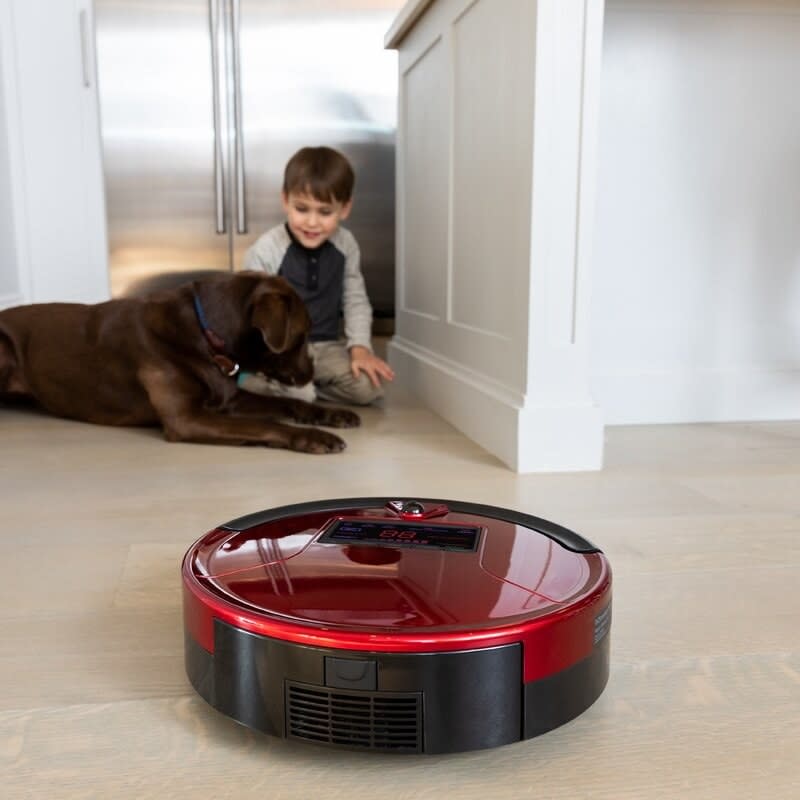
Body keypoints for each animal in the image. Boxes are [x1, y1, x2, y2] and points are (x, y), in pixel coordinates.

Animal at [0, 272, 360, 454]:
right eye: (302, 335)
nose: (311, 372)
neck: (204, 332)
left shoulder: (229, 398)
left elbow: (286, 404)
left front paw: (333, 415)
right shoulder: (187, 418)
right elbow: (265, 425)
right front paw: (315, 437)